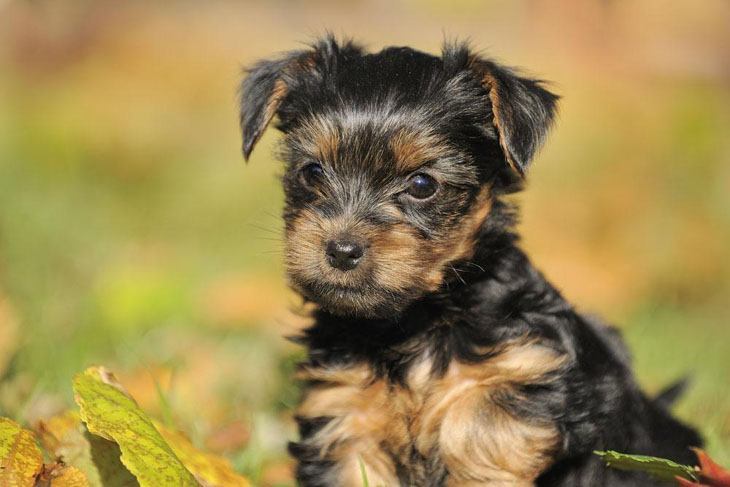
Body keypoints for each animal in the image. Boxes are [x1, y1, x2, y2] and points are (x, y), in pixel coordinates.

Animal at [237, 36, 700, 486]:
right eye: (312, 173)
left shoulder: (516, 378)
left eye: (422, 184)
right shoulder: (344, 408)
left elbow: (477, 432)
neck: (413, 320)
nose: (342, 250)